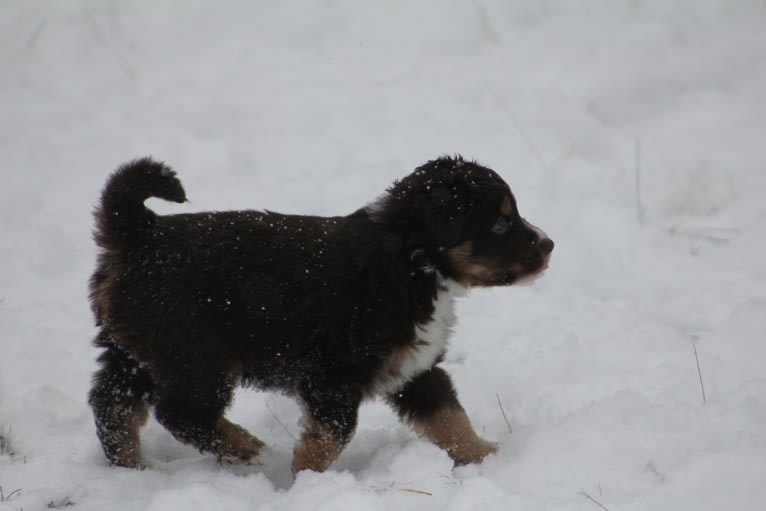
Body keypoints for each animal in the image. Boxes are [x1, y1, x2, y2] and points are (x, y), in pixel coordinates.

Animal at [88, 154, 552, 474]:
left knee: (113, 404)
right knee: (181, 413)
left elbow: (451, 418)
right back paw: (251, 450)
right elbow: (333, 434)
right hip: (197, 356)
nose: (549, 245)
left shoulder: (416, 368)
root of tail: (140, 233)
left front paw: (488, 456)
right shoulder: (332, 376)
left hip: (133, 350)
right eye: (499, 223)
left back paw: (132, 467)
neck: (408, 262)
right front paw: (306, 477)